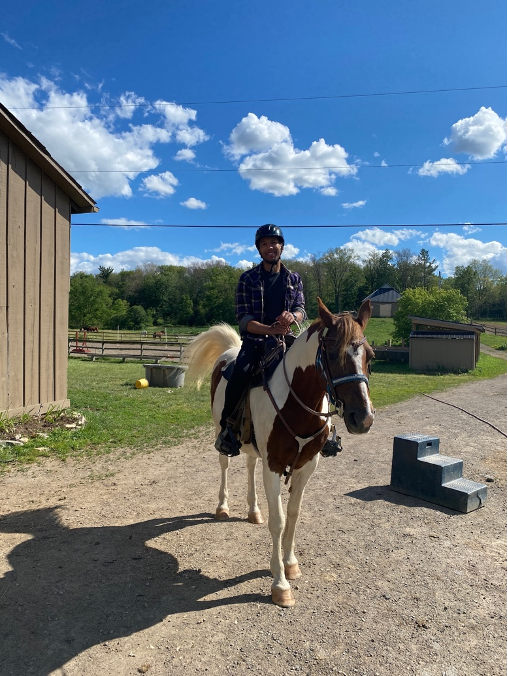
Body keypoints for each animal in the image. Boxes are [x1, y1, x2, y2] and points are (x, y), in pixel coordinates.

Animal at [185, 297, 375, 607]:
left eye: (370, 356)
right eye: (333, 354)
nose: (363, 418)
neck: (296, 403)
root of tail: (232, 351)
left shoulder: (307, 466)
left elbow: (294, 515)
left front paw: (291, 563)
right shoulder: (273, 465)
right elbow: (279, 521)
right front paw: (280, 584)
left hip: (253, 449)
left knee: (250, 465)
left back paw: (253, 511)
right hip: (219, 432)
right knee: (224, 465)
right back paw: (223, 507)